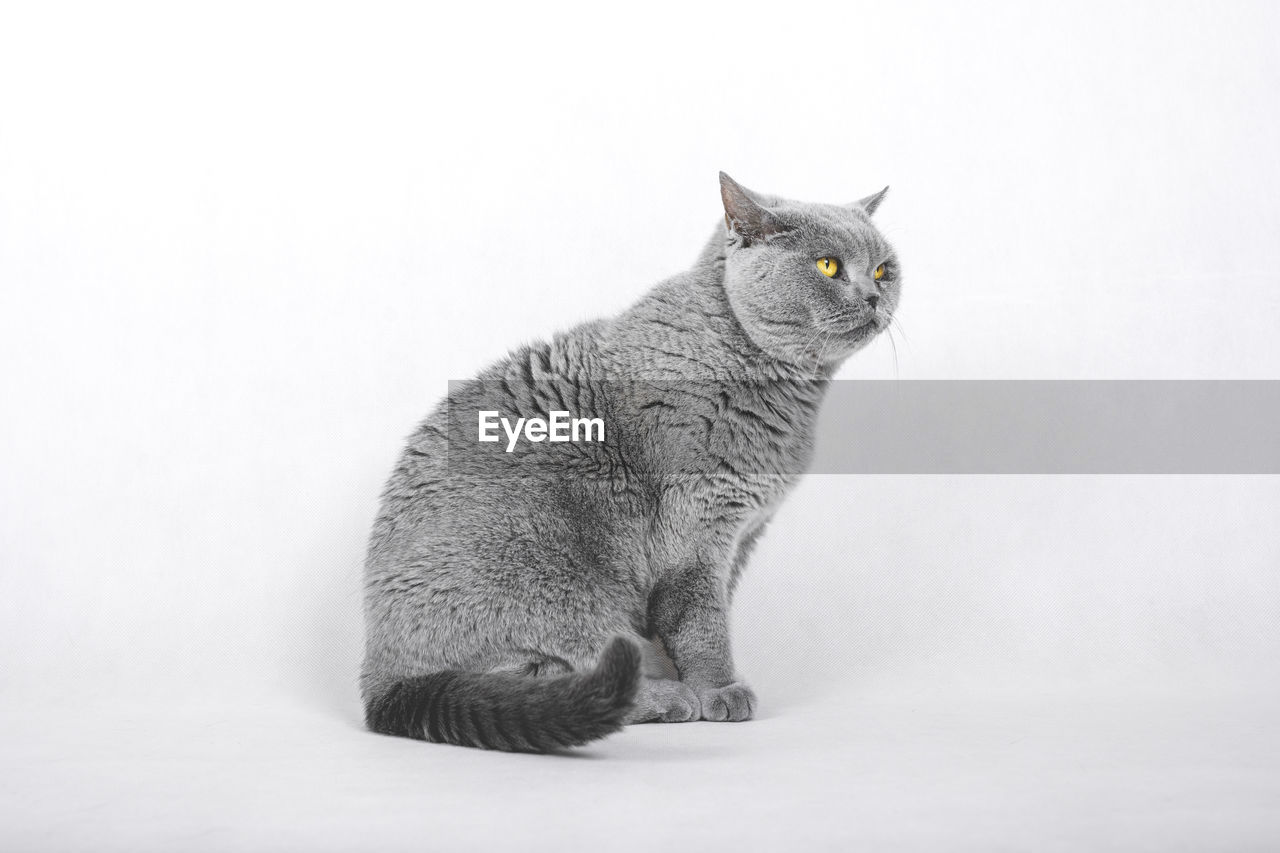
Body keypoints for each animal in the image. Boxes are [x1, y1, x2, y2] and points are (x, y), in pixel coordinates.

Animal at [360, 172, 901, 753]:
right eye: (828, 266)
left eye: (883, 269)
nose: (874, 296)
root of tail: (379, 684)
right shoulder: (695, 531)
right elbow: (702, 622)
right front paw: (718, 690)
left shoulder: (744, 534)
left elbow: (696, 620)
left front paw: (706, 685)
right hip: (550, 570)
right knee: (553, 676)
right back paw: (666, 698)